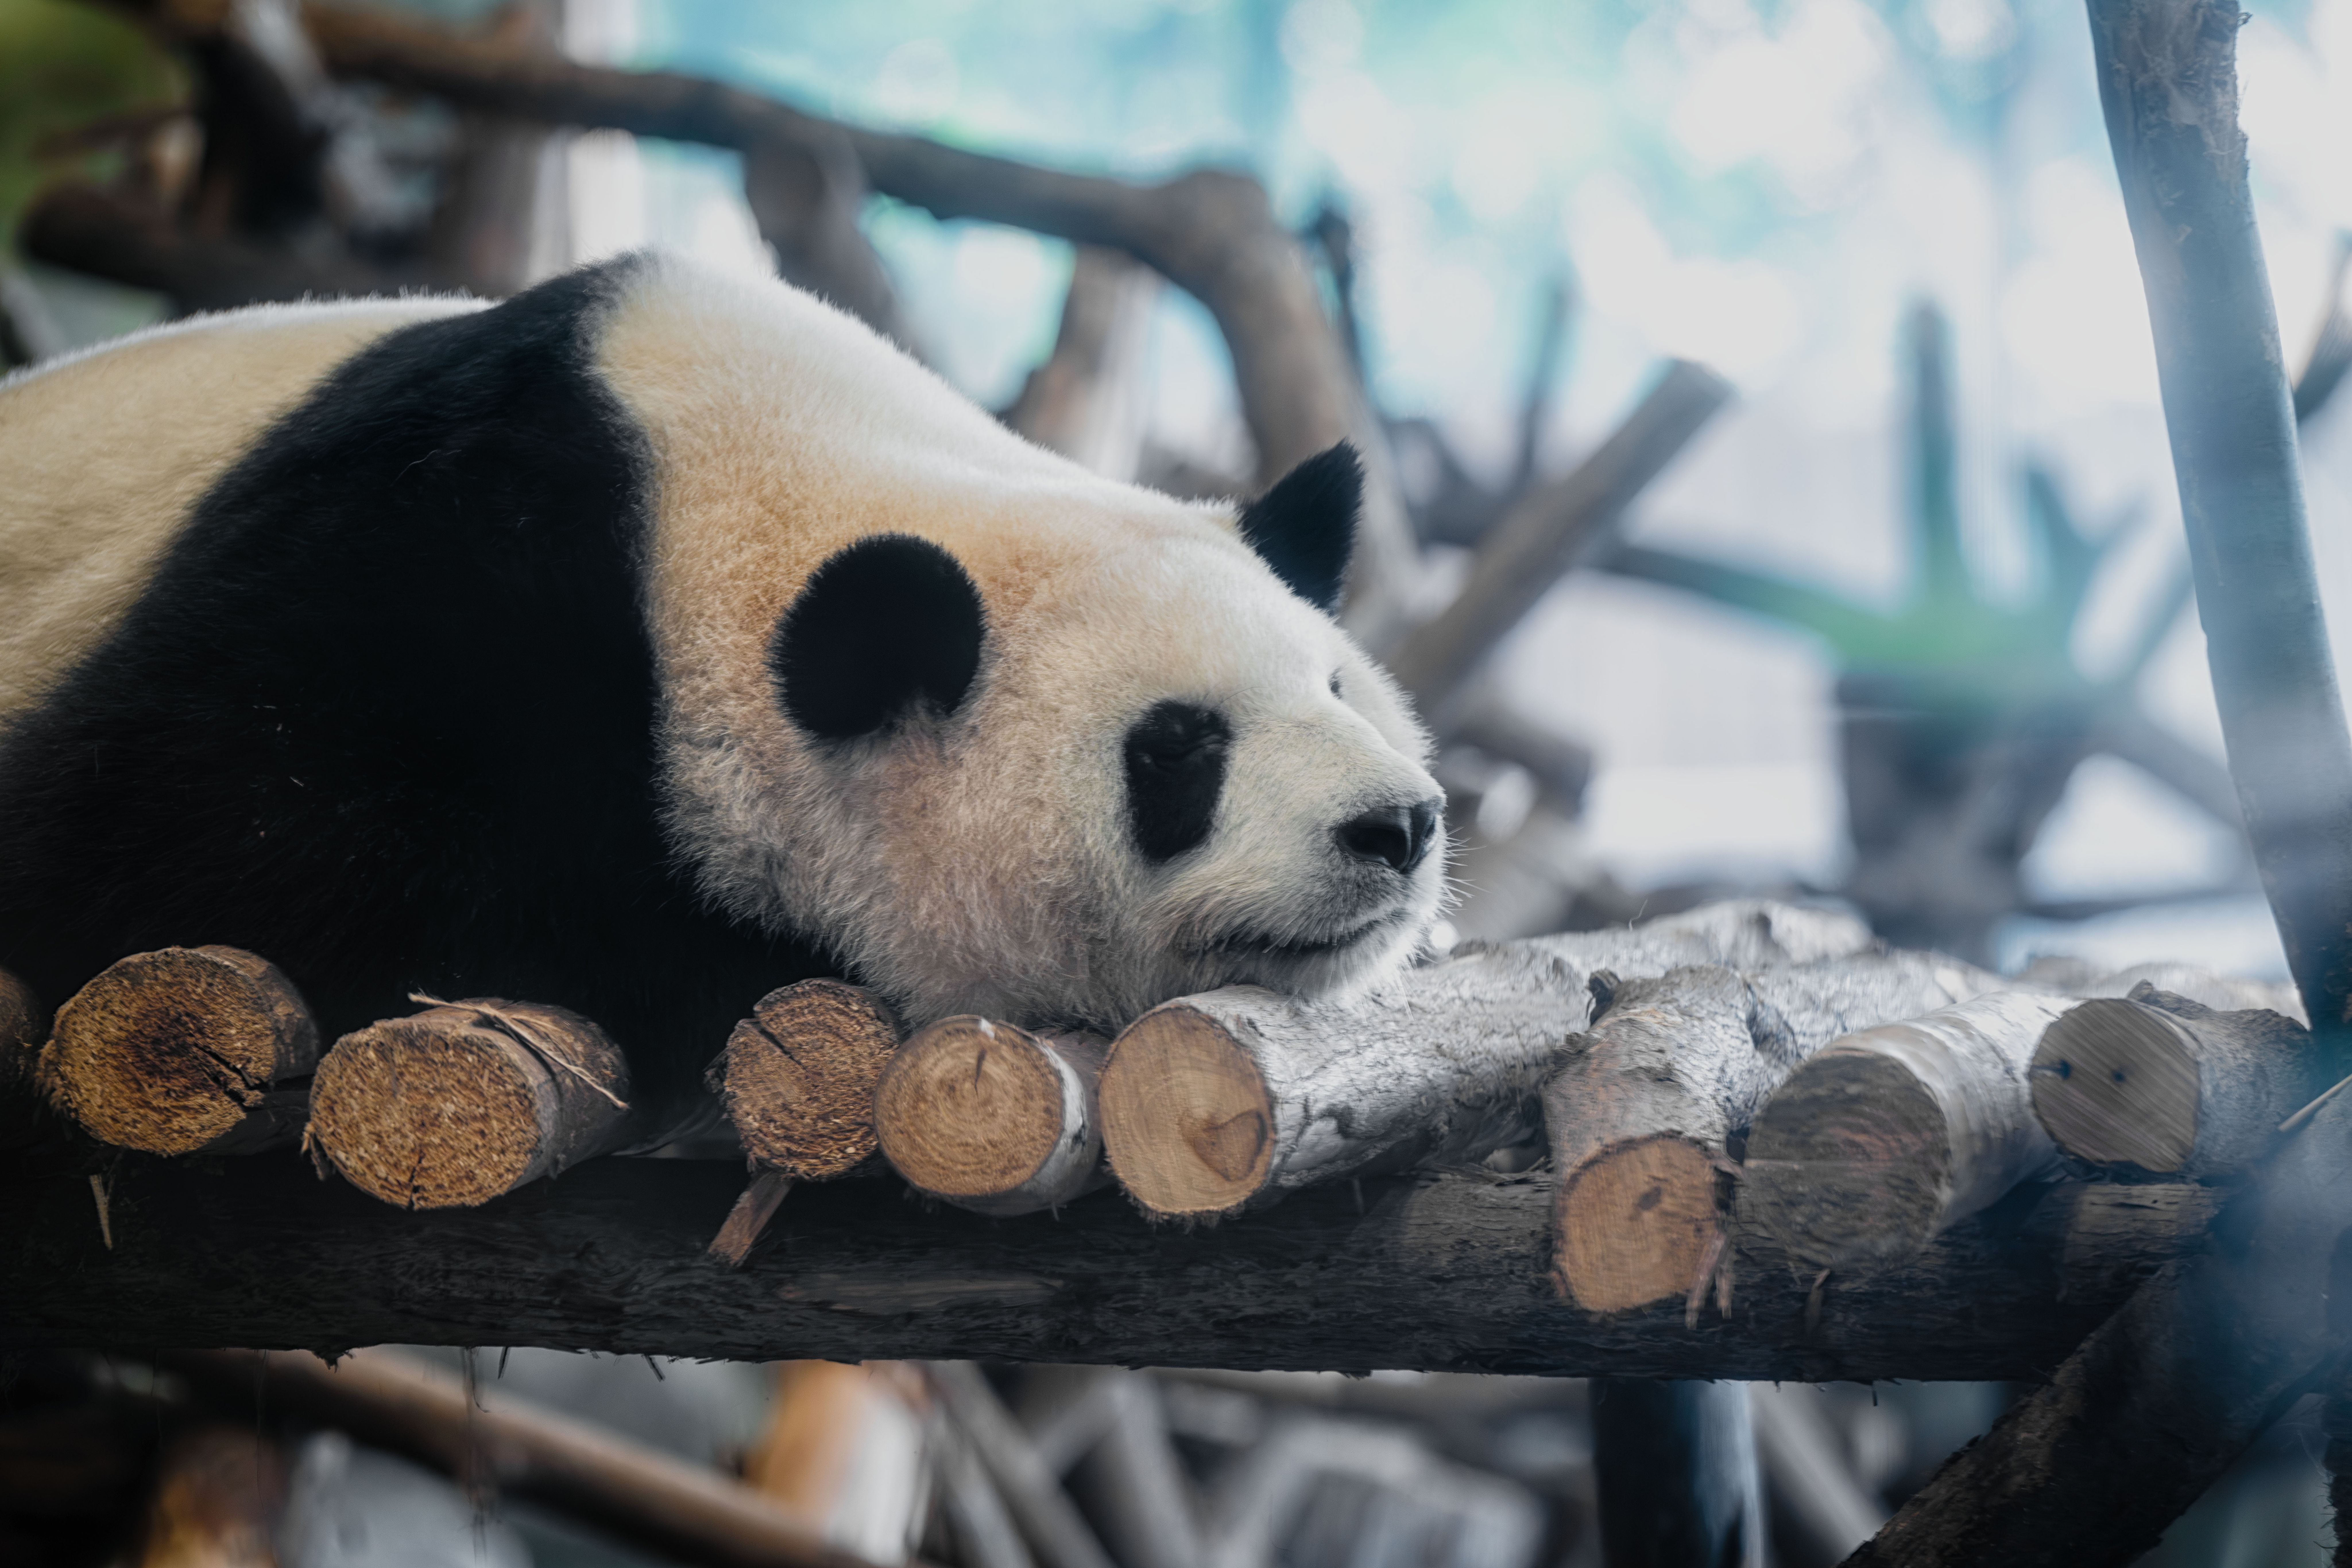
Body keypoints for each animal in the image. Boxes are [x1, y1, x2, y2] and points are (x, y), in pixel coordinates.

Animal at [0, 252, 1446, 1127]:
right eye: (1177, 750)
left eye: (1337, 687)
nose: (1396, 826)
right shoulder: (425, 559)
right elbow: (176, 841)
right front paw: (724, 967)